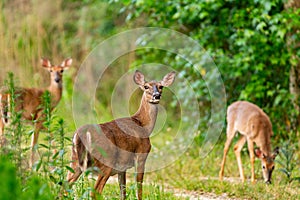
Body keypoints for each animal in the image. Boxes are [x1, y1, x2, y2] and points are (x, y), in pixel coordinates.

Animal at [66, 69, 176, 199]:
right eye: (146, 86)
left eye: (161, 86)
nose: (156, 95)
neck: (143, 125)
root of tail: (80, 134)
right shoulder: (141, 155)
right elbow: (139, 189)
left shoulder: (122, 168)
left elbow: (123, 192)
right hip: (106, 162)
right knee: (95, 192)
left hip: (75, 161)